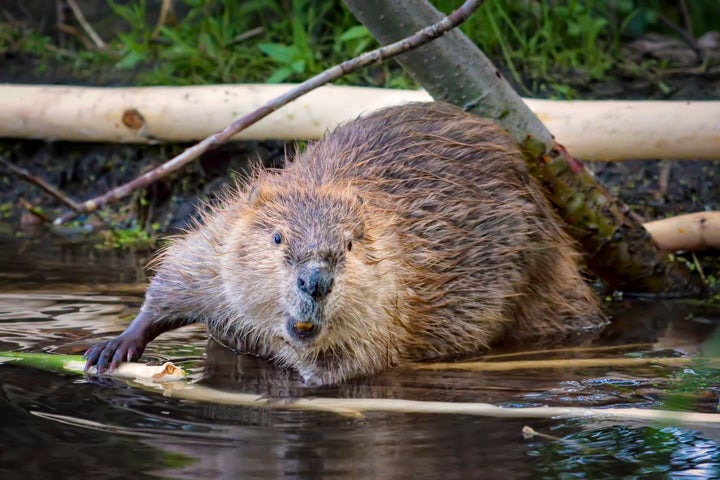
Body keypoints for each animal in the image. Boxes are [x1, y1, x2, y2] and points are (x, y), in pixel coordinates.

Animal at [83, 102, 600, 386]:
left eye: (350, 246)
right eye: (277, 237)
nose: (315, 281)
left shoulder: (391, 302)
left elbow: (350, 366)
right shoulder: (220, 240)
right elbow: (176, 278)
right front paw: (113, 348)